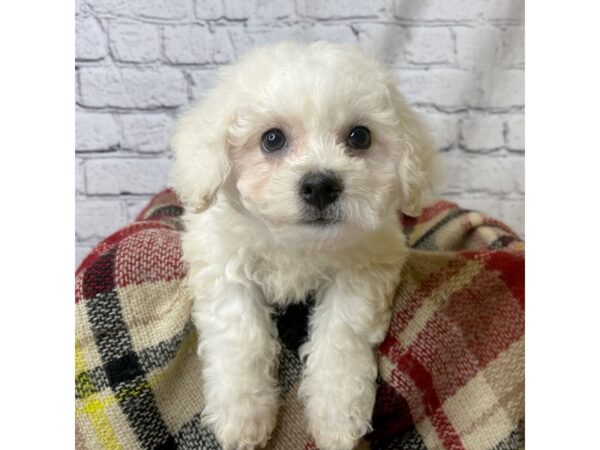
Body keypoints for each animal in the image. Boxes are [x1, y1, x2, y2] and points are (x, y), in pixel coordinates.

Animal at [170, 40, 440, 448]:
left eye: (360, 137)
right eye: (272, 139)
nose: (320, 185)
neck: (297, 243)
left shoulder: (366, 266)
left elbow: (341, 334)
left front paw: (337, 418)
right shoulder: (221, 258)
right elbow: (240, 333)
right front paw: (243, 417)